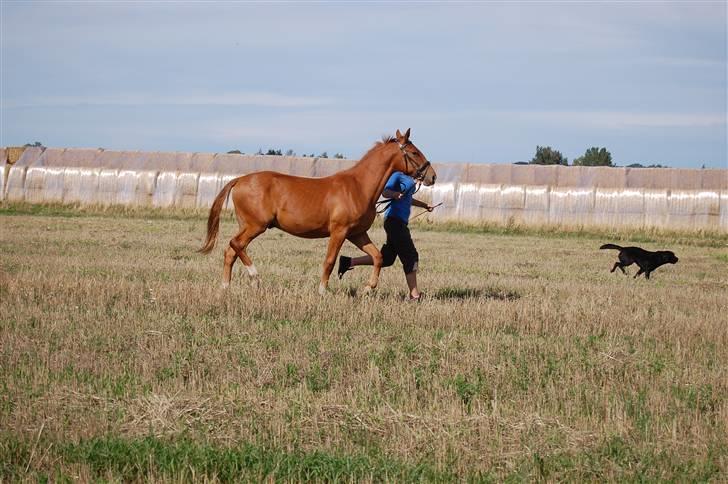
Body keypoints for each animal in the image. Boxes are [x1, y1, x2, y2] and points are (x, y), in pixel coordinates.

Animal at [199, 129, 436, 294]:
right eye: (414, 152)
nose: (432, 176)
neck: (358, 187)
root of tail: (239, 179)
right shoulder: (339, 232)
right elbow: (329, 261)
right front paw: (322, 291)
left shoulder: (357, 233)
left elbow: (377, 256)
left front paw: (368, 288)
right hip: (255, 225)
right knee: (235, 244)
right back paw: (255, 277)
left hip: (247, 226)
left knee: (231, 251)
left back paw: (225, 287)